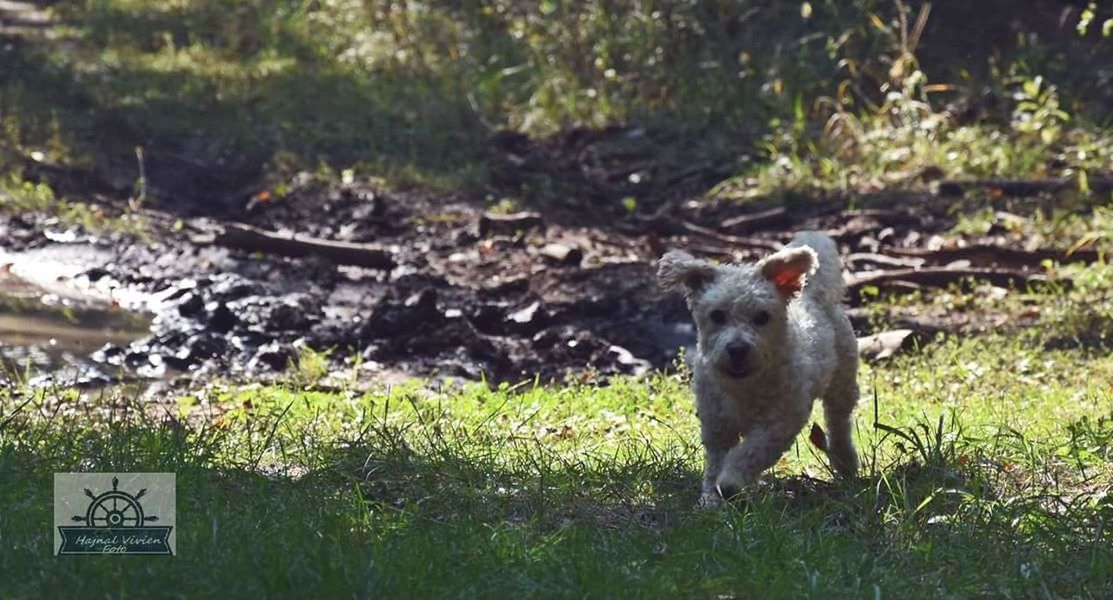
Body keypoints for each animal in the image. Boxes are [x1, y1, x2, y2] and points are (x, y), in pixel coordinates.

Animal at [658, 232, 859, 505]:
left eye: (762, 317)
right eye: (717, 315)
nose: (737, 349)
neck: (744, 386)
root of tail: (815, 291)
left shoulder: (780, 421)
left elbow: (752, 452)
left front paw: (731, 480)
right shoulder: (716, 423)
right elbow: (716, 461)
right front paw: (711, 497)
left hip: (842, 379)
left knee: (839, 420)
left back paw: (845, 461)